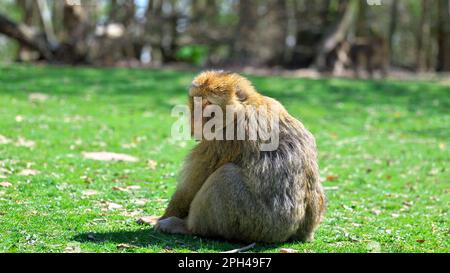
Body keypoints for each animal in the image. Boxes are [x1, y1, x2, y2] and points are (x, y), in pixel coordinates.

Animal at [156, 70, 326, 242]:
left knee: (225, 176)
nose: (195, 119)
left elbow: (190, 187)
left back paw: (188, 227)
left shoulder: (228, 136)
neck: (243, 107)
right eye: (195, 101)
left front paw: (161, 219)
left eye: (209, 103)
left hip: (257, 223)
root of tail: (298, 233)